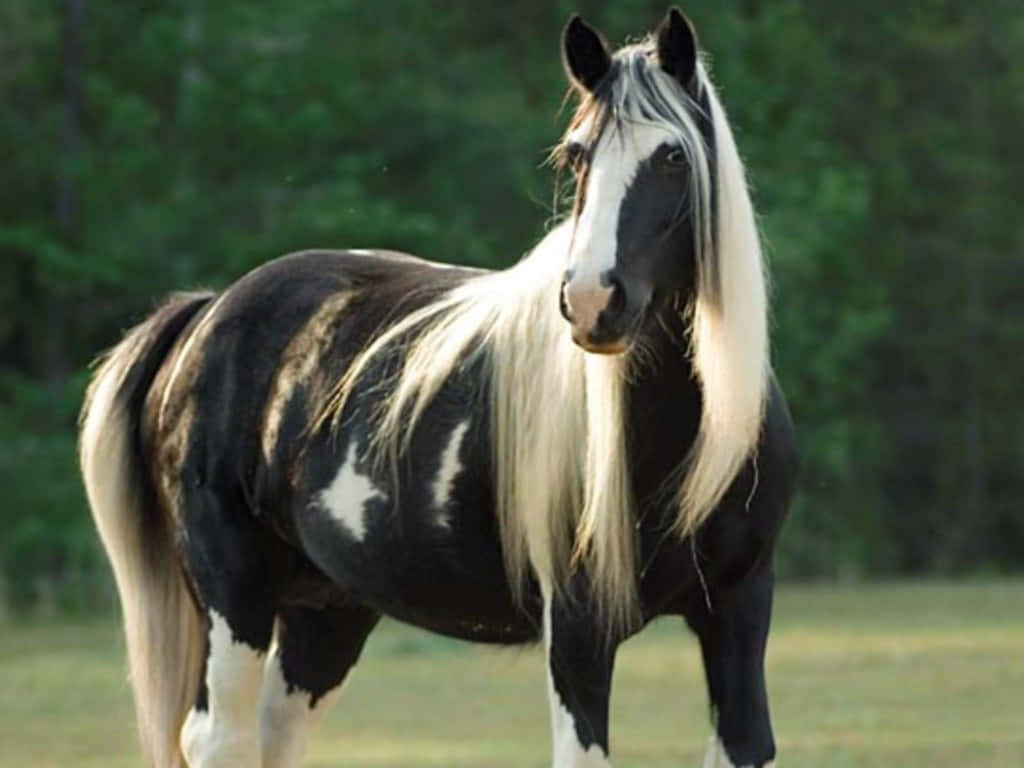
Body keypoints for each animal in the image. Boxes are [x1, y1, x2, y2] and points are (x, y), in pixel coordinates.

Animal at [79, 8, 797, 768]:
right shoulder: (578, 629)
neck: (684, 438)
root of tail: (209, 311)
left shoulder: (741, 608)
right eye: (577, 156)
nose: (592, 301)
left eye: (672, 156)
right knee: (222, 737)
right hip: (233, 590)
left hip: (326, 611)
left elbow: (747, 740)